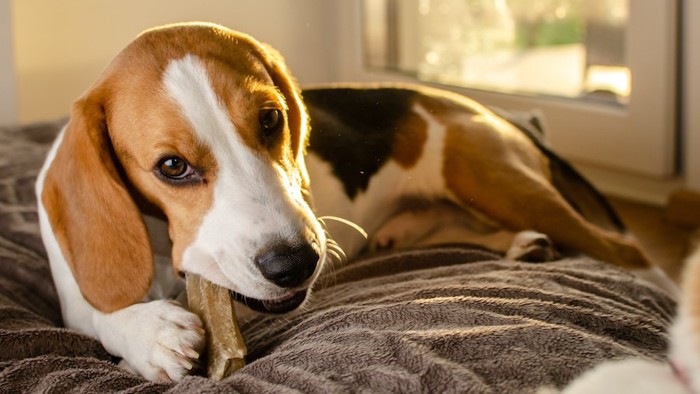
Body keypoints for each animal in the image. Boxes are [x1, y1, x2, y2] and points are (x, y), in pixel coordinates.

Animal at [37, 22, 668, 382]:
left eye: (271, 120)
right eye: (172, 167)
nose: (295, 263)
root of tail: (486, 108)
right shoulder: (70, 296)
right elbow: (96, 313)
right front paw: (148, 335)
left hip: (498, 180)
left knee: (627, 251)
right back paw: (522, 246)